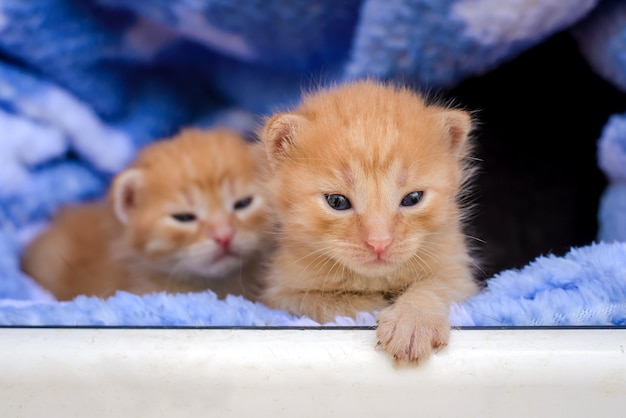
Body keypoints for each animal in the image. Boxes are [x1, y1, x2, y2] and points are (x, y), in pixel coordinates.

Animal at [258, 80, 478, 364]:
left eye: (413, 198)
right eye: (337, 202)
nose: (379, 243)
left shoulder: (458, 274)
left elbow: (433, 285)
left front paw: (412, 321)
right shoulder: (282, 294)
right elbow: (325, 302)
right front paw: (374, 307)